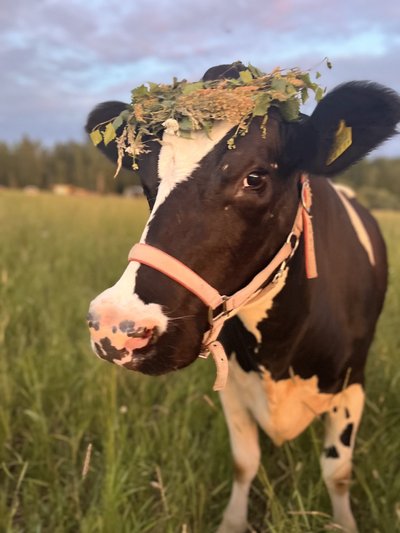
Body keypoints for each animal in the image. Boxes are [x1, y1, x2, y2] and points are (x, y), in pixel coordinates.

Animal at [85, 63, 400, 532]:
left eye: (255, 177)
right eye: (146, 178)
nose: (115, 325)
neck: (281, 349)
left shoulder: (352, 385)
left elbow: (338, 472)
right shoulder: (233, 388)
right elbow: (244, 461)